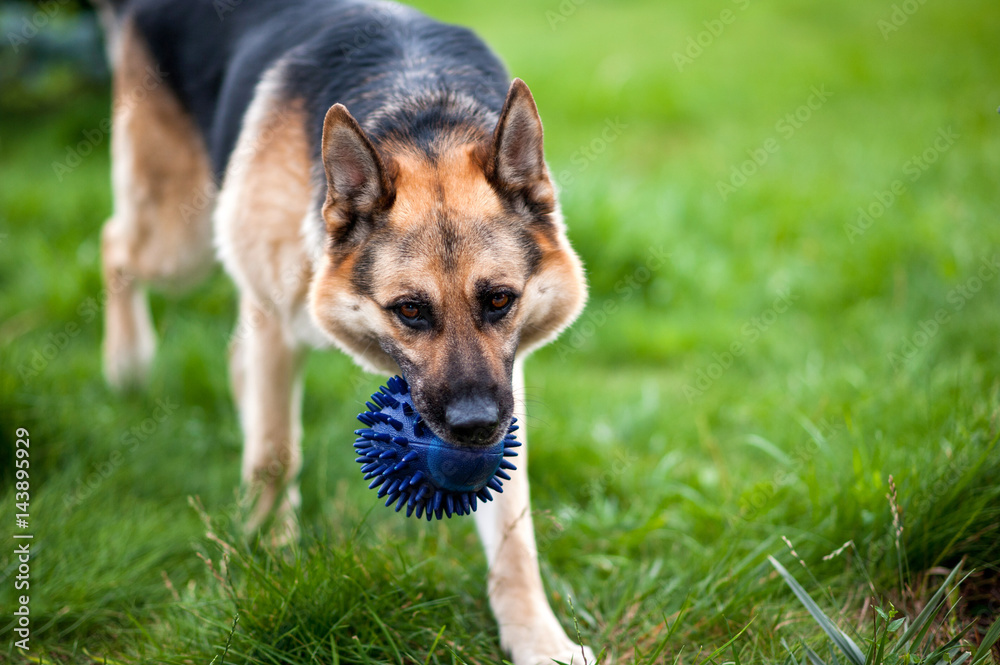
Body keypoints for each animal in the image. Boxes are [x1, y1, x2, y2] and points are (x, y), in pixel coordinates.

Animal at [94, 0, 588, 660]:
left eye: (500, 300)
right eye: (410, 310)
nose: (475, 427)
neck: (420, 110)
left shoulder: (506, 386)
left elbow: (514, 530)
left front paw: (537, 636)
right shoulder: (275, 323)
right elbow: (275, 453)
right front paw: (271, 564)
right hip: (183, 240)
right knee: (114, 245)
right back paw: (127, 363)